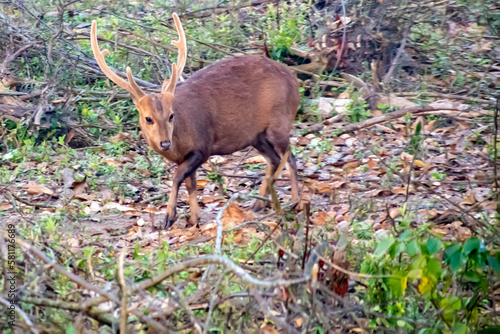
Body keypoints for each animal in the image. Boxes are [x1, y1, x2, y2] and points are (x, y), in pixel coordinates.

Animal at [90, 12, 298, 227]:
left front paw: (169, 216)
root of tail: (294, 79)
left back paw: (295, 203)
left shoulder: (203, 147)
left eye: (171, 115)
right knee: (274, 159)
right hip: (257, 136)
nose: (165, 143)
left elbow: (177, 177)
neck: (179, 143)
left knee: (290, 158)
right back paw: (259, 204)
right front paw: (195, 219)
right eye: (148, 118)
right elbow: (191, 183)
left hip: (280, 121)